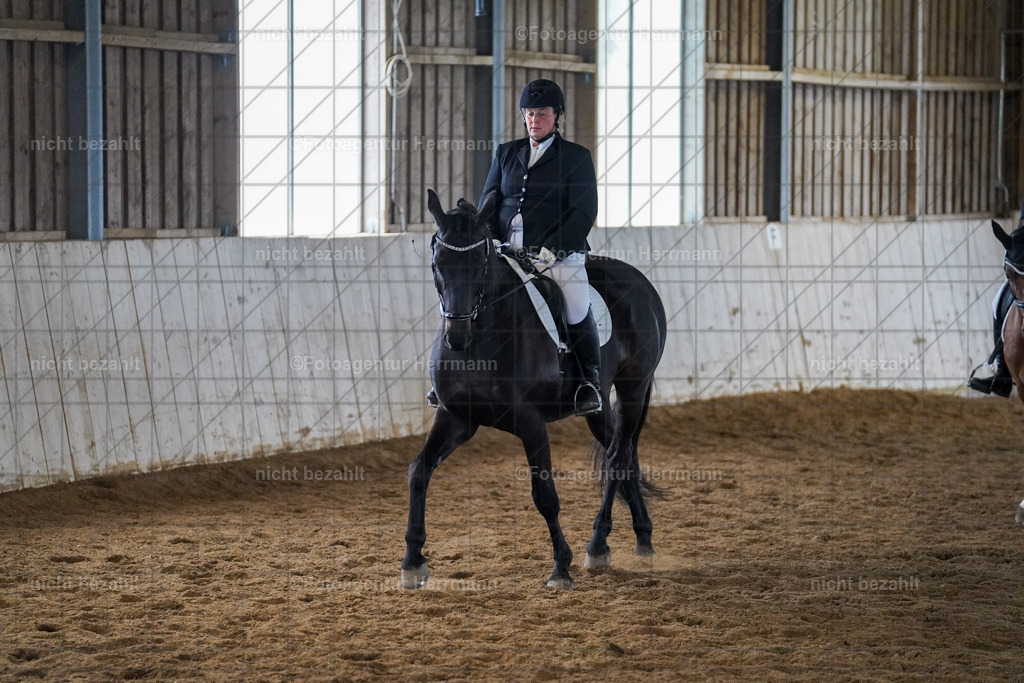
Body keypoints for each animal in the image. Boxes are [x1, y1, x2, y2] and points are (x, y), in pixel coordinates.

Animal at [401, 189, 668, 589]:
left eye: (481, 263)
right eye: (437, 264)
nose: (457, 338)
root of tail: (640, 281)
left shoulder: (530, 422)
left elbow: (544, 495)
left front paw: (561, 567)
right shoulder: (456, 417)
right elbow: (419, 471)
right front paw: (413, 562)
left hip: (633, 388)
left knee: (617, 458)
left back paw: (597, 544)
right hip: (600, 407)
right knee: (624, 456)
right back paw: (642, 538)